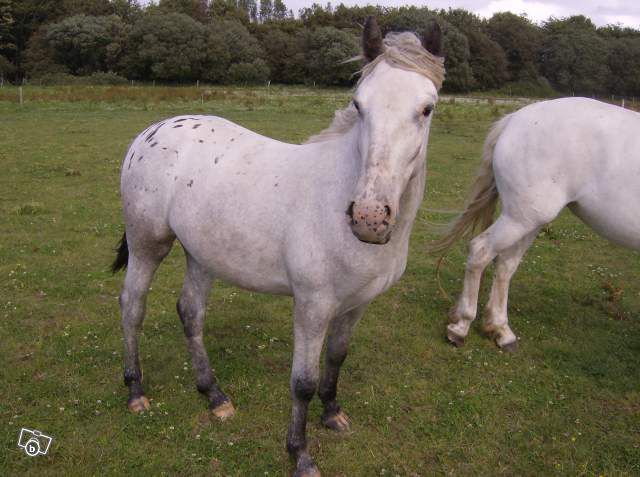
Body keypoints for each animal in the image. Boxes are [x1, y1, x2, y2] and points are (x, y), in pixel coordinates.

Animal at [112, 17, 445, 476]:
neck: (337, 192)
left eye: (427, 108)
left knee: (190, 313)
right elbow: (302, 382)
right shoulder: (313, 304)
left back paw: (214, 396)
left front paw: (332, 413)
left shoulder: (357, 303)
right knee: (132, 306)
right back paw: (136, 391)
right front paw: (300, 454)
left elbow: (337, 356)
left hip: (201, 254)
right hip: (148, 244)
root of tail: (150, 132)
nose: (369, 217)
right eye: (359, 105)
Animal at [432, 97, 640, 352]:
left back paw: (501, 332)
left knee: (505, 265)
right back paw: (461, 327)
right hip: (520, 219)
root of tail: (516, 118)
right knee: (481, 251)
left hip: (528, 220)